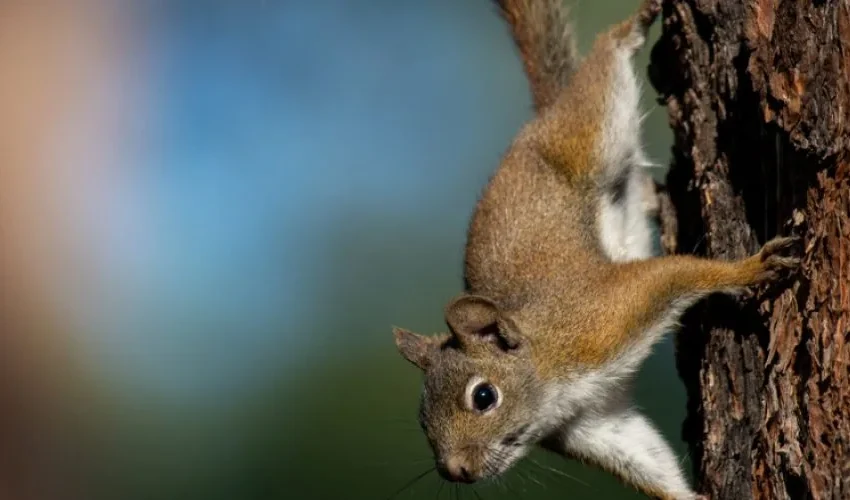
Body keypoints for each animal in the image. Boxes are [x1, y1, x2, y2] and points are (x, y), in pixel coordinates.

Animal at [392, 1, 799, 499]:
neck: (548, 368)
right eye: (422, 418)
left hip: (588, 132)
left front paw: (754, 267)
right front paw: (693, 495)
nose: (455, 470)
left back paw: (634, 26)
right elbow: (646, 461)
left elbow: (678, 274)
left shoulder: (604, 315)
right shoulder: (594, 425)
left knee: (604, 65)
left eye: (483, 397)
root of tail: (540, 118)